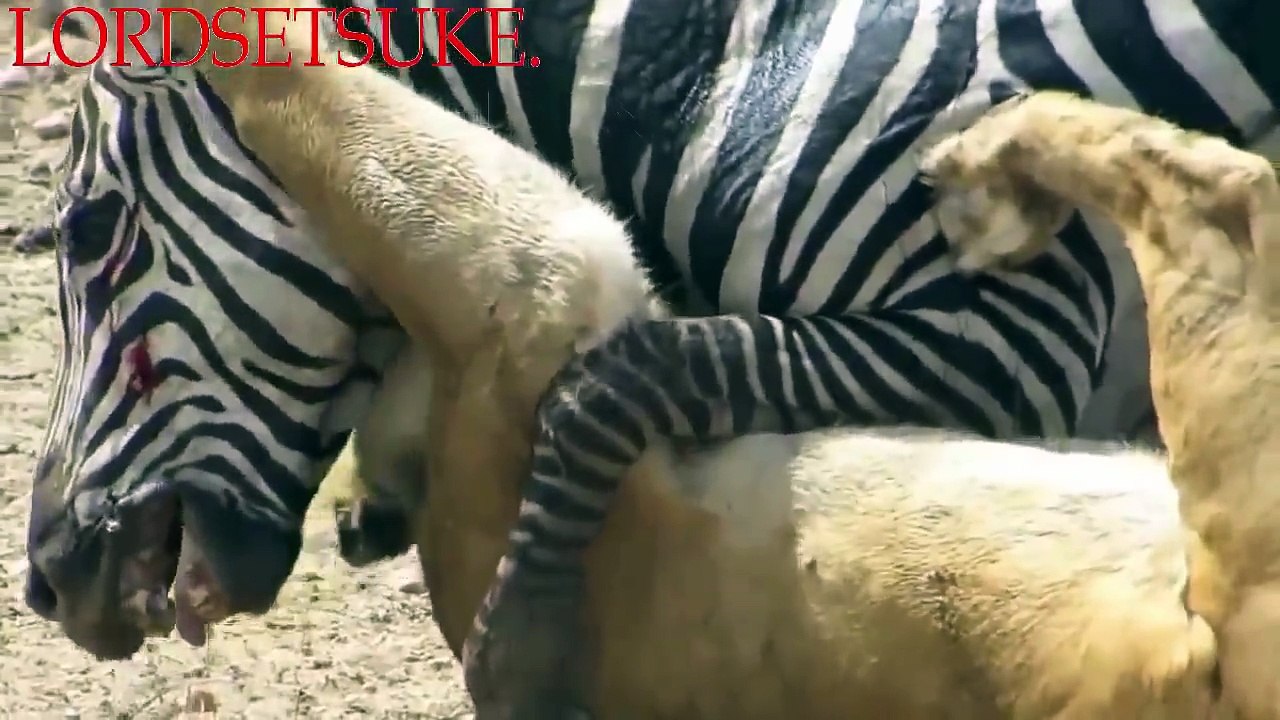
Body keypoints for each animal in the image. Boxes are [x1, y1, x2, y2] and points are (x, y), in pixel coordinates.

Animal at [22, 0, 1277, 698]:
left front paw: (523, 632)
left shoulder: (996, 341)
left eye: (84, 231)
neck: (714, 74)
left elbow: (624, 374)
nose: (46, 582)